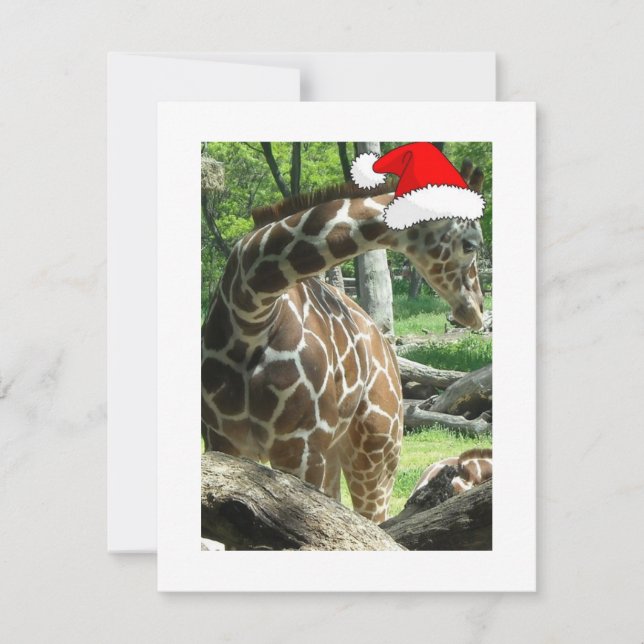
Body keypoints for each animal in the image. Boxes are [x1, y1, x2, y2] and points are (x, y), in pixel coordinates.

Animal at [201, 183, 485, 523]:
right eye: (470, 245)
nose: (477, 310)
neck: (251, 313)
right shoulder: (221, 441)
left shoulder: (300, 447)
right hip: (337, 454)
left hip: (377, 454)